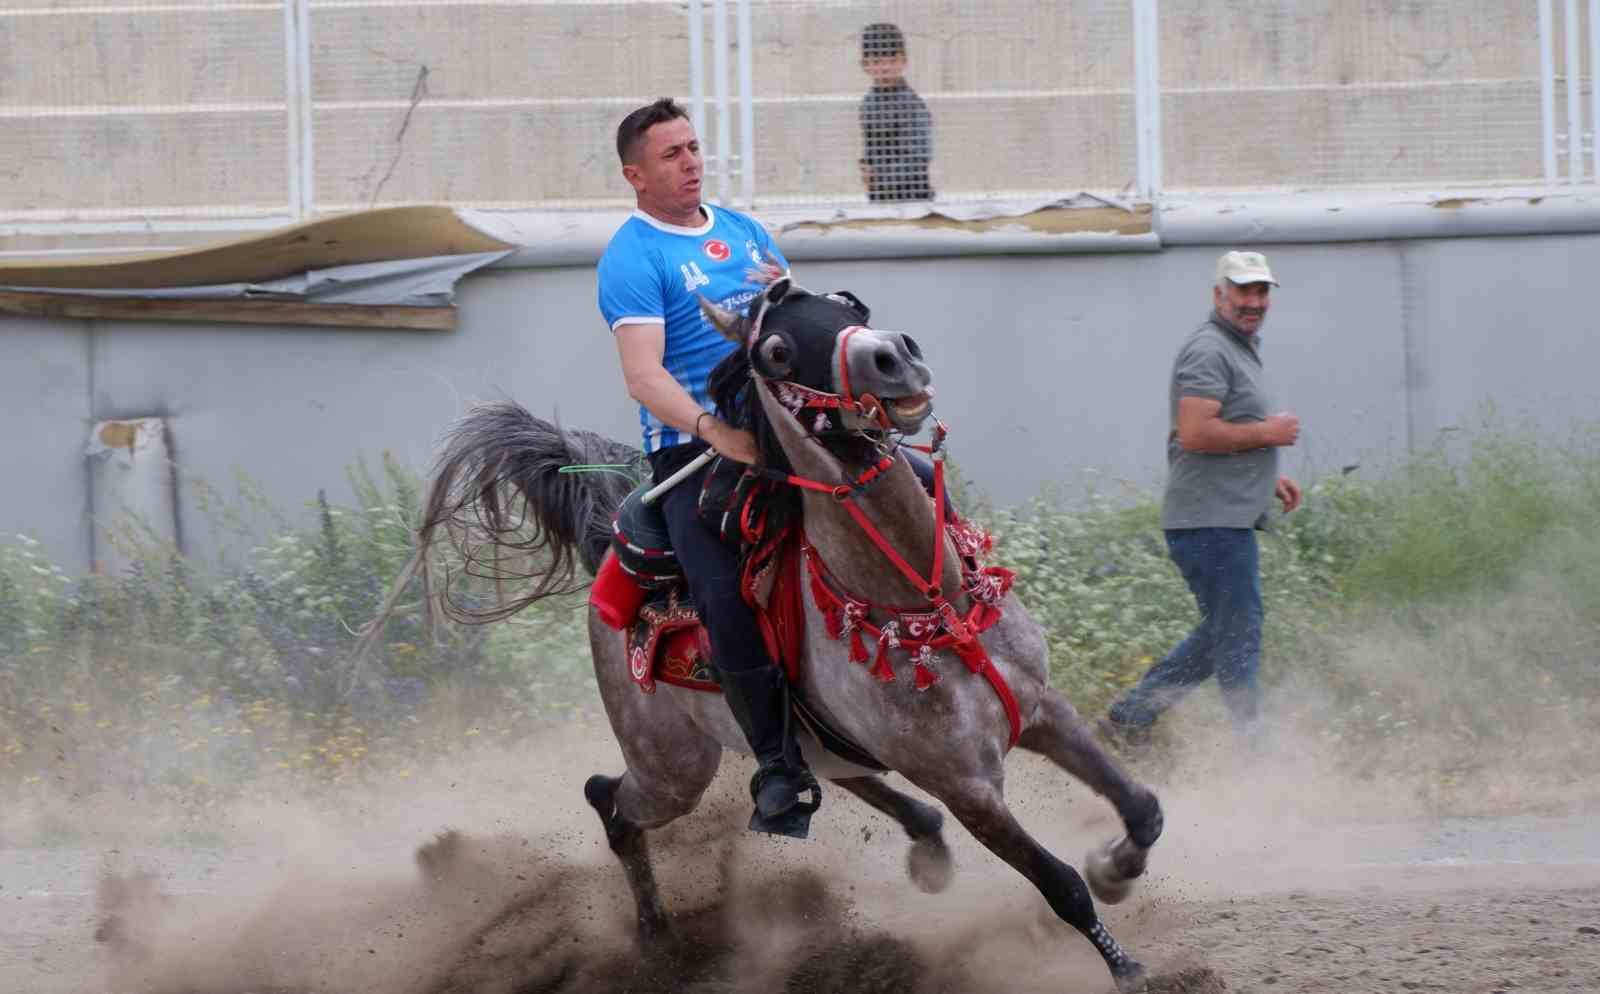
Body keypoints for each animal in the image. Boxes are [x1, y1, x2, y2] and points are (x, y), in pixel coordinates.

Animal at [419, 275, 1171, 985]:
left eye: (849, 308)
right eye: (776, 349)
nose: (894, 355)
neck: (928, 606)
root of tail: (611, 548)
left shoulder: (1042, 711)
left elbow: (1143, 807)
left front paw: (1116, 868)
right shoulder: (968, 786)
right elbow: (1059, 885)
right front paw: (1130, 965)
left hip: (797, 742)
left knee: (831, 774)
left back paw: (923, 848)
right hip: (672, 768)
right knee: (611, 803)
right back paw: (657, 940)